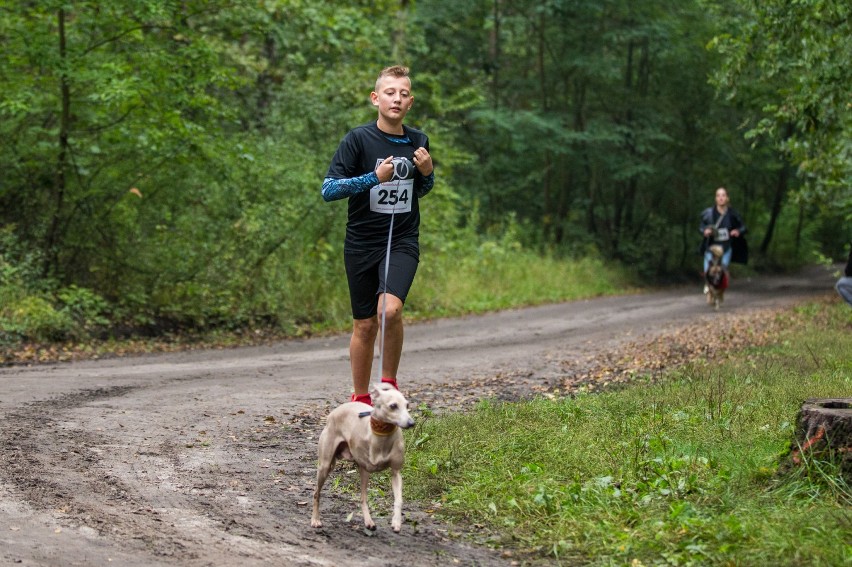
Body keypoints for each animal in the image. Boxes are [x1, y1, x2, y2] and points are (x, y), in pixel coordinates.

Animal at [310, 384, 416, 536]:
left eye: (407, 405)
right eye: (393, 406)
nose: (411, 423)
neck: (381, 438)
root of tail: (334, 412)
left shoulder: (395, 472)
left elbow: (398, 499)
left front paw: (396, 522)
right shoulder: (365, 468)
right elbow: (364, 497)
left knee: (362, 497)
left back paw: (369, 521)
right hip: (325, 465)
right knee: (316, 493)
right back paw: (315, 519)